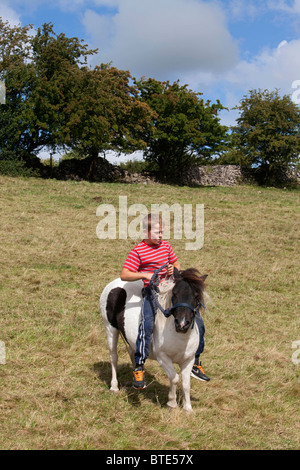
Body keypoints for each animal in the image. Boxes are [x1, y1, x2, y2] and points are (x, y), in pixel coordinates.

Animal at [99, 268, 207, 412]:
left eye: (196, 296)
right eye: (175, 294)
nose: (182, 324)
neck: (179, 337)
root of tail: (114, 284)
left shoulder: (188, 360)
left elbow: (186, 383)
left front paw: (188, 409)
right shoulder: (163, 358)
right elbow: (174, 378)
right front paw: (172, 403)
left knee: (133, 354)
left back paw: (138, 379)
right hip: (110, 329)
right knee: (113, 357)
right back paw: (114, 387)